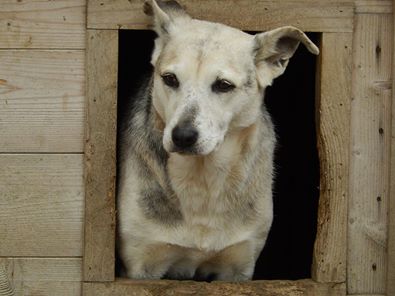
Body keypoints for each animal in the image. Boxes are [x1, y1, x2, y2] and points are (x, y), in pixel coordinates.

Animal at [117, 0, 318, 280]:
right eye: (170, 79)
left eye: (223, 85)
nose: (182, 136)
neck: (202, 178)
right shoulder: (140, 267)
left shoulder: (238, 269)